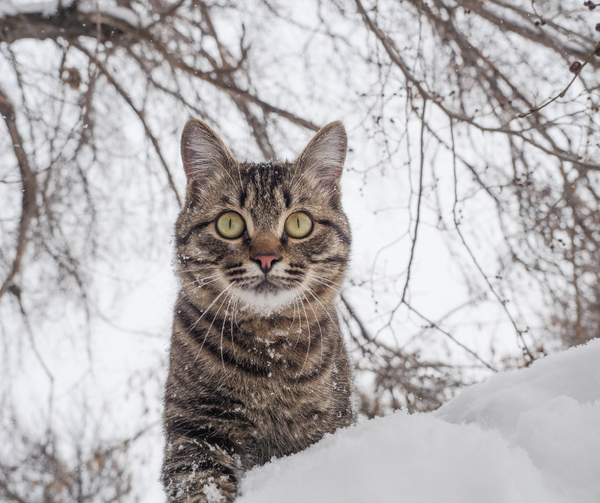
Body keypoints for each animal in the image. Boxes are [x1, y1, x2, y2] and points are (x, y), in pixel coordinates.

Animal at [162, 120, 354, 502]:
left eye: (299, 223)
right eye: (229, 224)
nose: (266, 258)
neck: (268, 351)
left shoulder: (328, 421)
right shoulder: (195, 428)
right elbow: (201, 487)